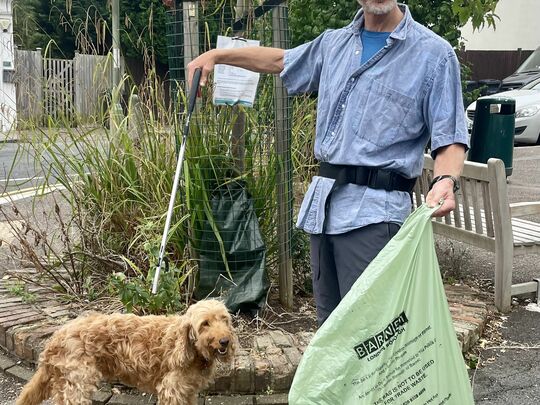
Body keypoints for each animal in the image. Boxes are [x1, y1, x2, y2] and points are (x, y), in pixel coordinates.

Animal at [17, 298, 236, 402]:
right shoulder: (172, 390)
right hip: (77, 387)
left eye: (224, 319)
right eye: (205, 324)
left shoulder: (188, 391)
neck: (191, 349)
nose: (225, 341)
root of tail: (56, 337)